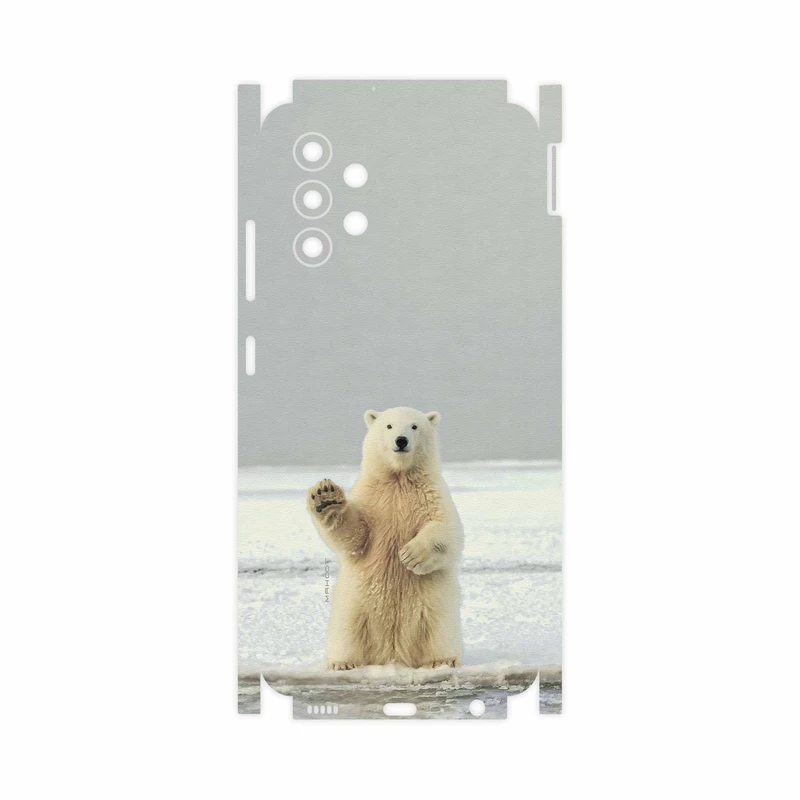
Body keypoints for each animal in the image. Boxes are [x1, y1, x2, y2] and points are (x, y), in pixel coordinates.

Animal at [307, 407, 464, 670]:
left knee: (439, 631)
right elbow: (355, 536)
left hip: (436, 609)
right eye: (389, 426)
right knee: (347, 633)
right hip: (354, 607)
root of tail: (393, 654)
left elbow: (448, 530)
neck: (399, 478)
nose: (401, 441)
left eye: (414, 426)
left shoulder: (432, 495)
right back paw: (342, 663)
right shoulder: (373, 498)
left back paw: (442, 660)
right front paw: (326, 498)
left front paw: (411, 555)